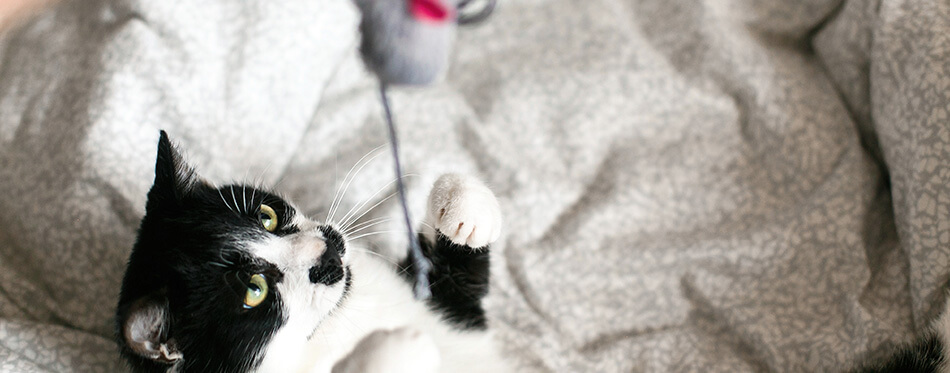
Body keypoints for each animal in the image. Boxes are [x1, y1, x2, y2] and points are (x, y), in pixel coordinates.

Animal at [115, 132, 510, 372]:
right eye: (254, 290)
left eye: (267, 216)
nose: (328, 254)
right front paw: (400, 351)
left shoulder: (454, 320)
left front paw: (463, 206)